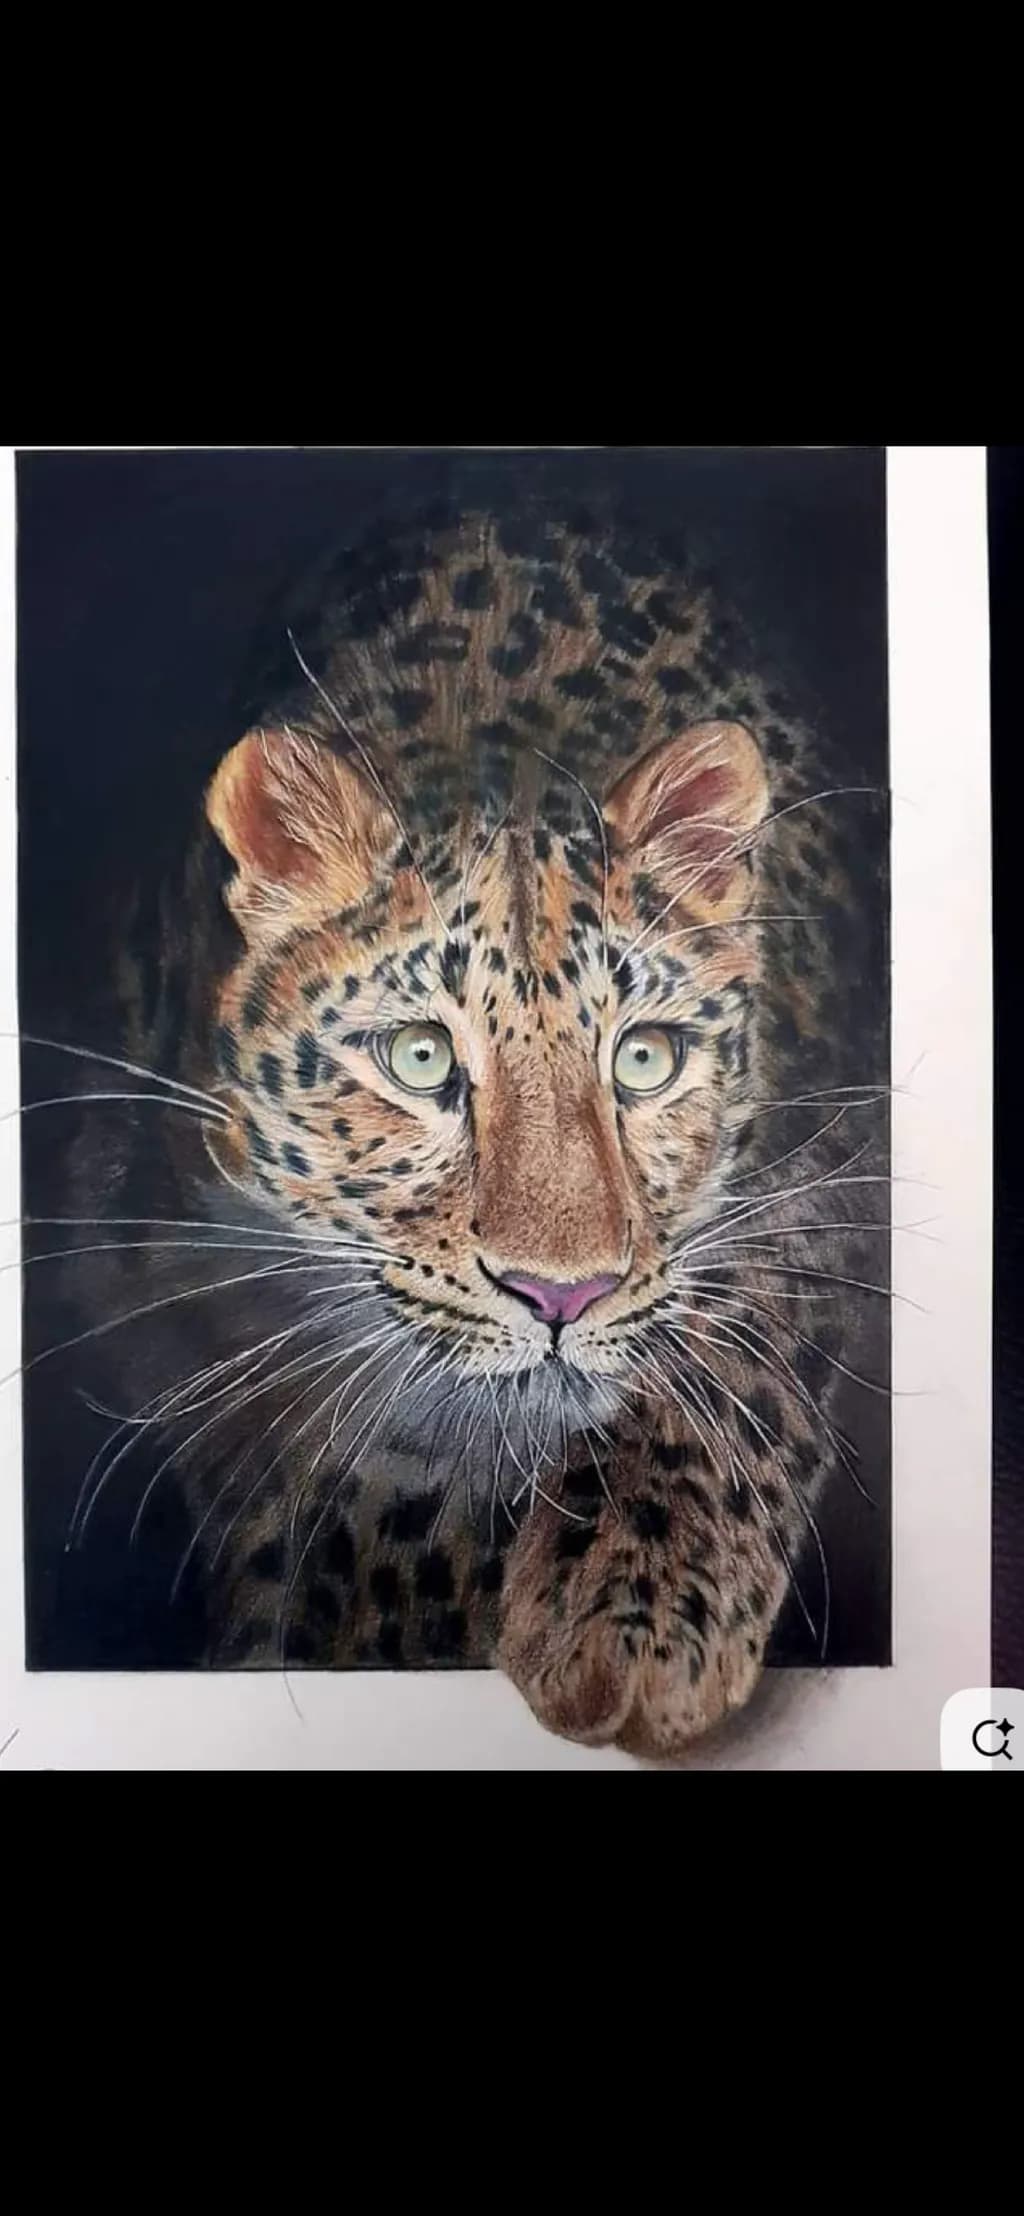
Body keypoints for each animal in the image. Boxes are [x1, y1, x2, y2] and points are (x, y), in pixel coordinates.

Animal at [49, 495, 889, 1760]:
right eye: (420, 1058)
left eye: (643, 1059)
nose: (562, 1296)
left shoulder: (832, 1141)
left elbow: (744, 1318)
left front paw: (631, 1621)